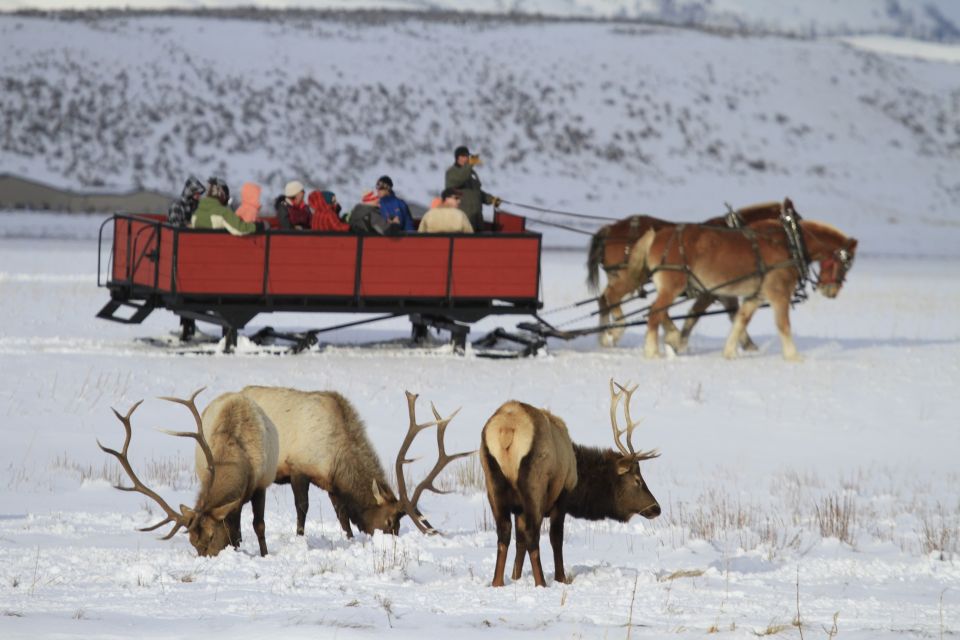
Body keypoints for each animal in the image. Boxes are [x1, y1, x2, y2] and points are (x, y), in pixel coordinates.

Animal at [97, 388, 278, 556]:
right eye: (192, 541)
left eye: (211, 536)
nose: (206, 558)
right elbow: (235, 532)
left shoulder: (261, 484)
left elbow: (258, 526)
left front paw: (264, 554)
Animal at [236, 384, 468, 540]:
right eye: (389, 521)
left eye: (398, 526)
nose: (390, 539)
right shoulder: (298, 468)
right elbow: (302, 507)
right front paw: (300, 536)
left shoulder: (332, 484)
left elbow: (342, 515)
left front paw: (349, 538)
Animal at [480, 382, 660, 588]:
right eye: (637, 479)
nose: (656, 508)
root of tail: (507, 430)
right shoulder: (563, 495)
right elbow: (555, 538)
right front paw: (562, 579)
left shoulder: (519, 509)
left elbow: (520, 542)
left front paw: (516, 577)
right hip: (535, 485)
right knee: (533, 536)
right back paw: (541, 583)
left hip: (492, 482)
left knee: (504, 533)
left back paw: (497, 582)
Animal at [588, 200, 792, 350]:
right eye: (793, 221)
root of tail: (610, 229)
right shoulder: (711, 291)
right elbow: (696, 314)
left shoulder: (723, 292)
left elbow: (732, 314)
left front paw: (748, 346)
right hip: (631, 277)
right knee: (613, 297)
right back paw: (619, 330)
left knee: (604, 300)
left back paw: (604, 335)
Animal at [628, 219, 860, 360]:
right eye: (846, 263)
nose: (831, 291)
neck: (789, 243)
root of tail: (656, 235)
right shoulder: (779, 294)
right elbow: (783, 325)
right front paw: (793, 356)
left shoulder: (755, 297)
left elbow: (740, 321)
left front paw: (729, 352)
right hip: (673, 286)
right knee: (654, 313)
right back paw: (652, 351)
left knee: (660, 313)